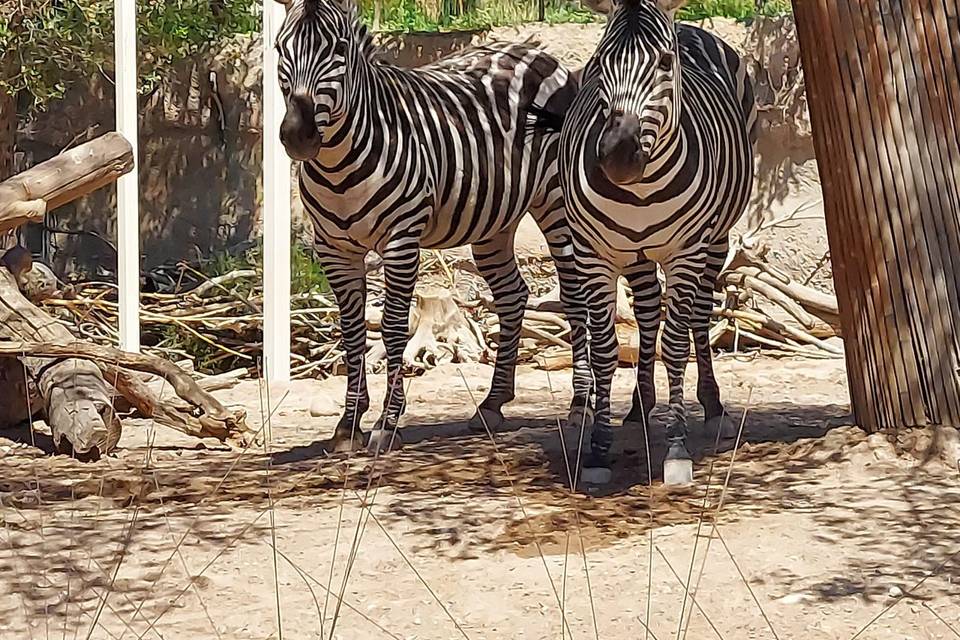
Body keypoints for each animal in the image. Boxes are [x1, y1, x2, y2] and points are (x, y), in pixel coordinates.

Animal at [270, 0, 592, 450]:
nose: (298, 136)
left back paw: (581, 404)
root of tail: (536, 53)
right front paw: (348, 424)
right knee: (513, 296)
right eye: (280, 48)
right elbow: (351, 331)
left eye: (338, 49)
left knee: (576, 297)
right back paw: (492, 404)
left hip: (557, 204)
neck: (338, 163)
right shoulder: (333, 248)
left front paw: (386, 424)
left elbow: (392, 328)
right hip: (494, 219)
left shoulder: (401, 239)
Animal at [540, 0, 756, 482]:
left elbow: (675, 343)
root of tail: (692, 26)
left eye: (664, 62)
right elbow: (604, 350)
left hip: (715, 239)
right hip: (635, 253)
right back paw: (640, 405)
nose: (618, 159)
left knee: (698, 315)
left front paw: (676, 449)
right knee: (646, 310)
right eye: (600, 63)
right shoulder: (594, 254)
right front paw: (598, 451)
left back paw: (711, 403)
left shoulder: (686, 251)